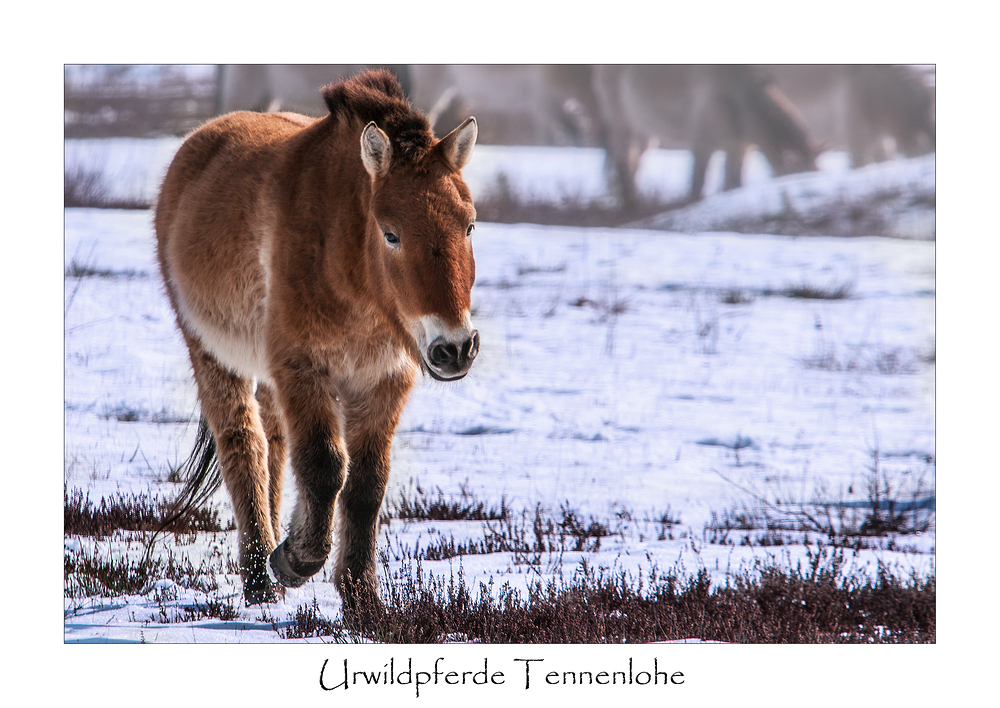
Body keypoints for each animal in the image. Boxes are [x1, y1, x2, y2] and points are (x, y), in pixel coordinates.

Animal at [155, 68, 480, 620]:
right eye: (391, 234)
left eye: (470, 225)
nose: (454, 348)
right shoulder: (303, 369)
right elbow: (326, 467)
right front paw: (295, 560)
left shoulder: (384, 380)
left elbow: (367, 485)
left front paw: (362, 600)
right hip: (213, 354)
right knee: (245, 446)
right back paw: (260, 581)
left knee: (274, 446)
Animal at [588, 64, 816, 206]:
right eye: (798, 179)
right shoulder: (702, 143)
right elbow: (697, 183)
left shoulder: (739, 146)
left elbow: (733, 183)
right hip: (621, 122)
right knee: (622, 160)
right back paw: (630, 203)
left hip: (644, 131)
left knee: (635, 162)